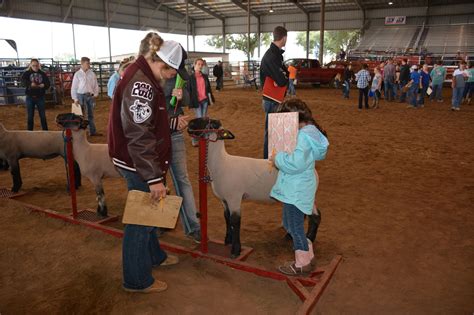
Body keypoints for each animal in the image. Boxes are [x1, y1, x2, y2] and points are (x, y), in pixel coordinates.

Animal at [187, 118, 320, 260]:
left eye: (211, 124)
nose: (190, 123)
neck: (221, 164)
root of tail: (313, 170)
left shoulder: (234, 197)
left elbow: (235, 220)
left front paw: (236, 250)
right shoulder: (224, 199)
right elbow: (226, 217)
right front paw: (228, 240)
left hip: (307, 196)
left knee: (316, 216)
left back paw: (310, 238)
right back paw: (291, 236)